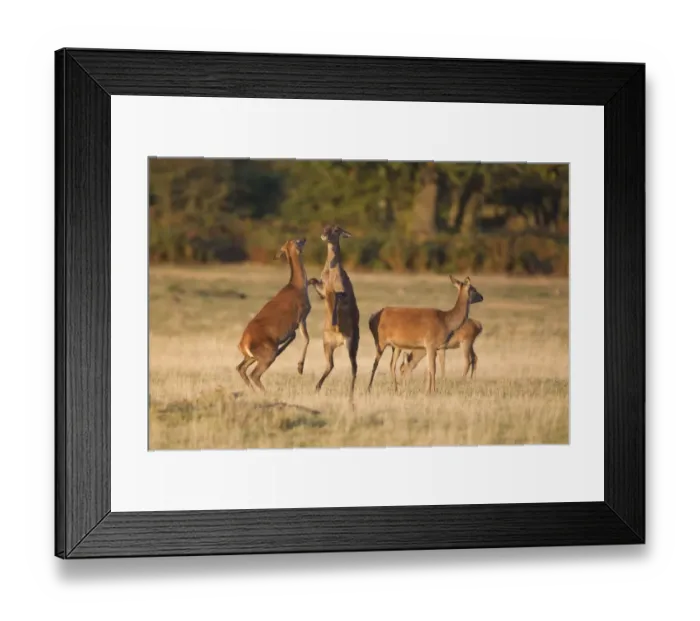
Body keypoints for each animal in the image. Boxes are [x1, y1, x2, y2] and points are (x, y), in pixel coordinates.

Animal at [236, 238, 311, 392]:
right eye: (297, 241)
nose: (304, 238)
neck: (298, 286)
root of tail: (242, 343)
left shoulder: (293, 326)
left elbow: (294, 336)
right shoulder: (302, 316)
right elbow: (307, 339)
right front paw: (300, 367)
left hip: (252, 356)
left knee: (241, 368)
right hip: (266, 354)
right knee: (254, 374)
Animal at [307, 224, 360, 402]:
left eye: (337, 230)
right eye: (325, 227)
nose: (324, 235)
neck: (332, 273)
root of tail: (338, 342)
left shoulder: (343, 293)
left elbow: (336, 297)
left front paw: (335, 321)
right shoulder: (323, 288)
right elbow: (313, 281)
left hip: (351, 344)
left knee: (354, 367)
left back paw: (350, 395)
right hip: (326, 344)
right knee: (330, 365)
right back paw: (316, 388)